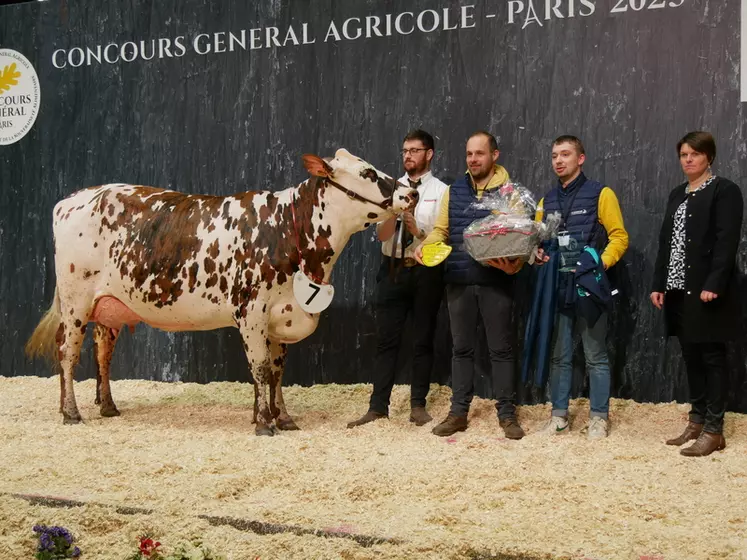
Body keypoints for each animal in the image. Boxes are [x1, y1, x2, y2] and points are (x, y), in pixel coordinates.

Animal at [24, 148, 420, 434]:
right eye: (367, 173)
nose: (412, 193)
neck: (288, 230)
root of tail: (72, 199)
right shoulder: (252, 311)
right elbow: (260, 368)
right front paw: (264, 424)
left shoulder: (280, 315)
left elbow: (278, 372)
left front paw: (282, 417)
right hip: (75, 301)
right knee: (67, 353)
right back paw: (71, 412)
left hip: (108, 307)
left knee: (102, 354)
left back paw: (107, 407)